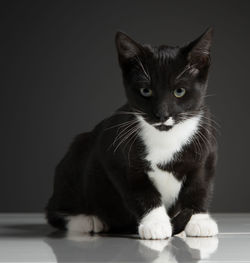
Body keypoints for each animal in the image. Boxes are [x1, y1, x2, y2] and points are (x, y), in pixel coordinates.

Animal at [46, 27, 218, 240]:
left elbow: (200, 185)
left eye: (179, 91)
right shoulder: (116, 156)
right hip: (75, 159)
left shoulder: (206, 150)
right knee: (54, 210)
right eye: (145, 91)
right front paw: (156, 224)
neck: (165, 137)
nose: (162, 114)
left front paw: (199, 220)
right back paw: (86, 219)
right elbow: (140, 191)